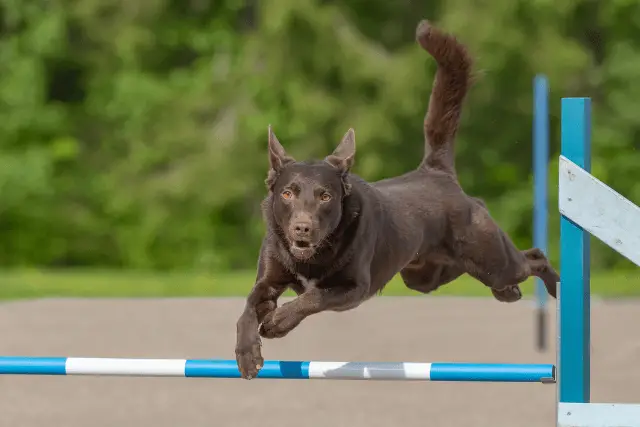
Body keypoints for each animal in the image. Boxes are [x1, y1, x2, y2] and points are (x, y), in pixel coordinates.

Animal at [235, 20, 560, 382]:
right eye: (287, 193)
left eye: (325, 196)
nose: (302, 229)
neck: (312, 257)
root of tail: (436, 172)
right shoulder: (269, 278)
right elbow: (248, 305)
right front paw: (247, 354)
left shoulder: (353, 288)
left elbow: (312, 297)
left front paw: (278, 322)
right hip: (425, 276)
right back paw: (509, 293)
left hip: (491, 258)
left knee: (533, 257)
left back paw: (556, 287)